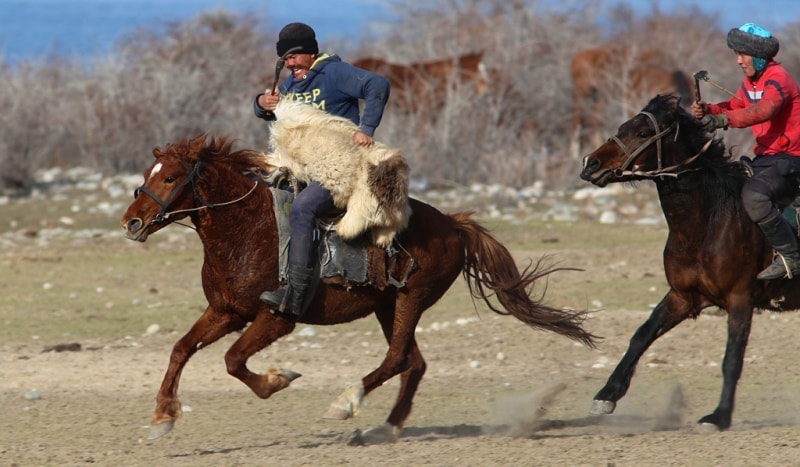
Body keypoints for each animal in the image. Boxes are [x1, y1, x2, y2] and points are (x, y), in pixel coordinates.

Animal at [117, 134, 592, 442]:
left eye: (170, 177)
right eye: (148, 173)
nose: (131, 223)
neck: (248, 230)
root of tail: (453, 224)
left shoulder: (276, 317)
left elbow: (233, 361)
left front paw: (278, 379)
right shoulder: (226, 311)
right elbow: (181, 348)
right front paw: (163, 416)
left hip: (411, 300)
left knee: (398, 357)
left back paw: (346, 402)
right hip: (388, 307)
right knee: (414, 363)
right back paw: (385, 427)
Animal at [580, 94, 800, 432]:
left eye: (643, 132)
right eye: (622, 127)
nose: (591, 164)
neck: (710, 221)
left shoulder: (740, 300)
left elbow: (732, 359)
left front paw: (719, 416)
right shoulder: (683, 297)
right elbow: (641, 335)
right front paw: (607, 395)